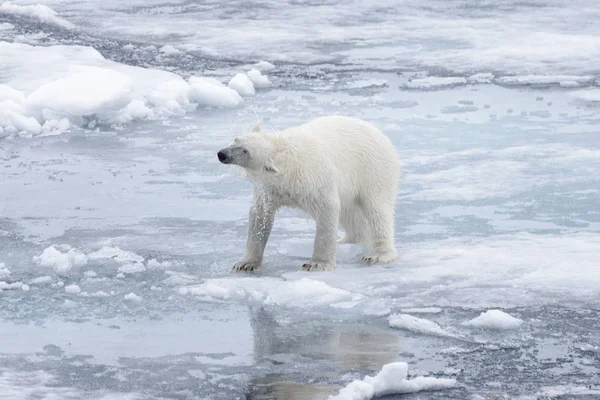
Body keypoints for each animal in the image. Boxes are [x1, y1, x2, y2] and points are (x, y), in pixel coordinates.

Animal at [218, 115, 400, 272]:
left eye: (245, 151)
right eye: (237, 139)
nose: (222, 154)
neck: (286, 162)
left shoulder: (313, 179)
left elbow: (327, 210)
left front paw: (317, 264)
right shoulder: (269, 188)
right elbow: (260, 215)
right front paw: (245, 263)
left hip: (373, 169)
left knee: (377, 210)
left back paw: (377, 255)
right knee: (349, 213)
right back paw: (347, 241)